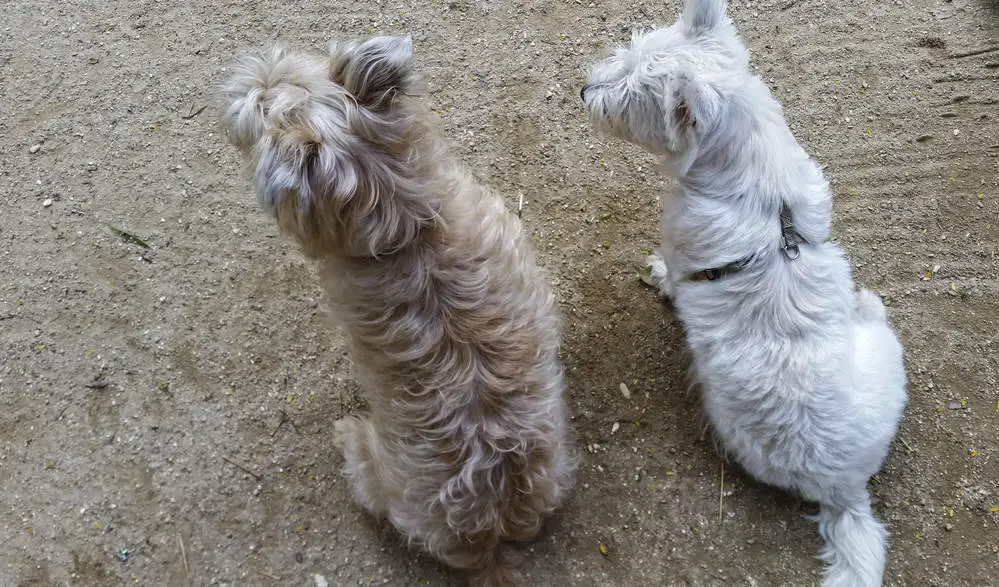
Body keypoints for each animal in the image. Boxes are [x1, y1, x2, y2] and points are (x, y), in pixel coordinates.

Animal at [584, 2, 912, 584]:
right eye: (627, 53)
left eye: (630, 95)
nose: (584, 90)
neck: (752, 181)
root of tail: (844, 491)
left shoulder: (678, 245)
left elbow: (669, 274)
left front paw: (658, 279)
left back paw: (866, 303)